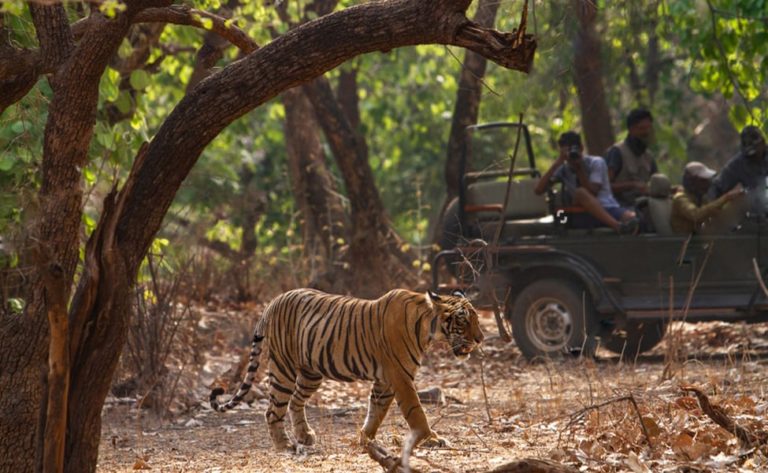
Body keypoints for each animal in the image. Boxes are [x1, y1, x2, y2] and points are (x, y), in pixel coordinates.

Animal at [210, 286, 484, 466]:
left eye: (477, 319)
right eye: (463, 321)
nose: (481, 339)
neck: (427, 328)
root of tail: (273, 301)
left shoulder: (385, 381)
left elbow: (376, 412)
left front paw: (366, 439)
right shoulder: (400, 377)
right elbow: (416, 412)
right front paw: (432, 439)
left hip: (311, 373)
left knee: (296, 402)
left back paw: (304, 436)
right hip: (283, 367)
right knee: (272, 410)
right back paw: (284, 445)